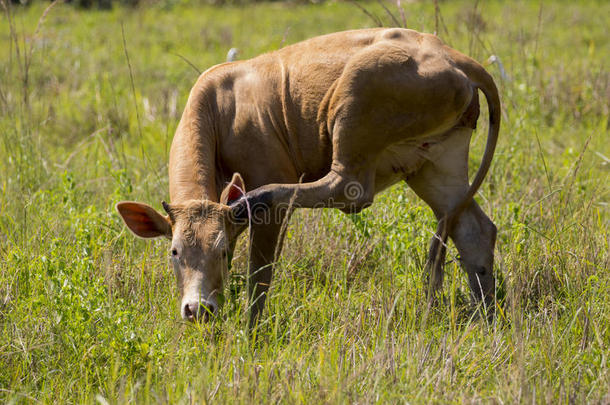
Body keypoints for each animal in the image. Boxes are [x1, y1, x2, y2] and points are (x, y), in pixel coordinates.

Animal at [115, 28, 498, 324]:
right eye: (174, 252)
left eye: (221, 251)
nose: (198, 309)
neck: (220, 109)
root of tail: (454, 56)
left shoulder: (267, 205)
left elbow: (259, 275)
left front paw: (250, 333)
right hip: (434, 163)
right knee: (474, 229)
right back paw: (488, 314)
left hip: (354, 106)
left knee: (348, 189)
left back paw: (259, 197)